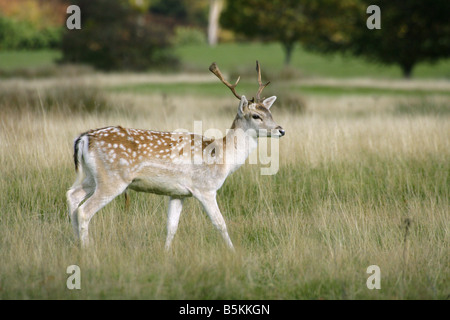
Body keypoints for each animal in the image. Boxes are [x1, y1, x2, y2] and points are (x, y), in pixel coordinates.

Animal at [66, 60, 284, 250]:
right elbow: (220, 224)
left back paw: (76, 244)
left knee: (72, 196)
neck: (223, 157)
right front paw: (233, 252)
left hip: (92, 176)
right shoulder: (205, 188)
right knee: (84, 211)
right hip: (113, 178)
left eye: (270, 113)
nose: (281, 130)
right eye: (256, 116)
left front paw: (166, 254)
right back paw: (87, 250)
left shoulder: (178, 193)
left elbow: (171, 227)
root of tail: (84, 138)